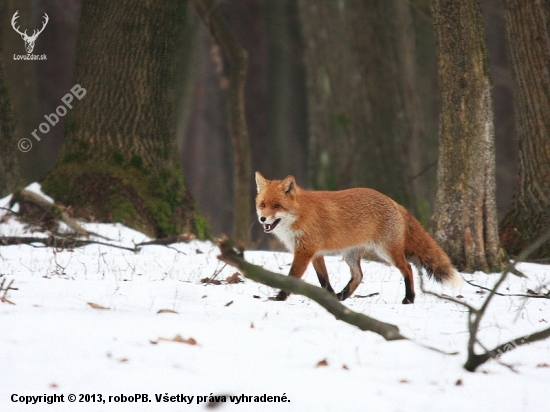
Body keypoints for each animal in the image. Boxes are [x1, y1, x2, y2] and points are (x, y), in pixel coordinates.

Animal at [256, 171, 464, 302]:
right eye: (262, 204)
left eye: (277, 206)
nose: (262, 218)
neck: (300, 214)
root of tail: (393, 202)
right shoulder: (314, 253)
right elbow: (324, 280)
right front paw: (330, 298)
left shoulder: (305, 252)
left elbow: (292, 277)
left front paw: (279, 297)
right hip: (350, 254)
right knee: (358, 275)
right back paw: (342, 296)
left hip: (387, 251)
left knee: (408, 268)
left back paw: (409, 298)